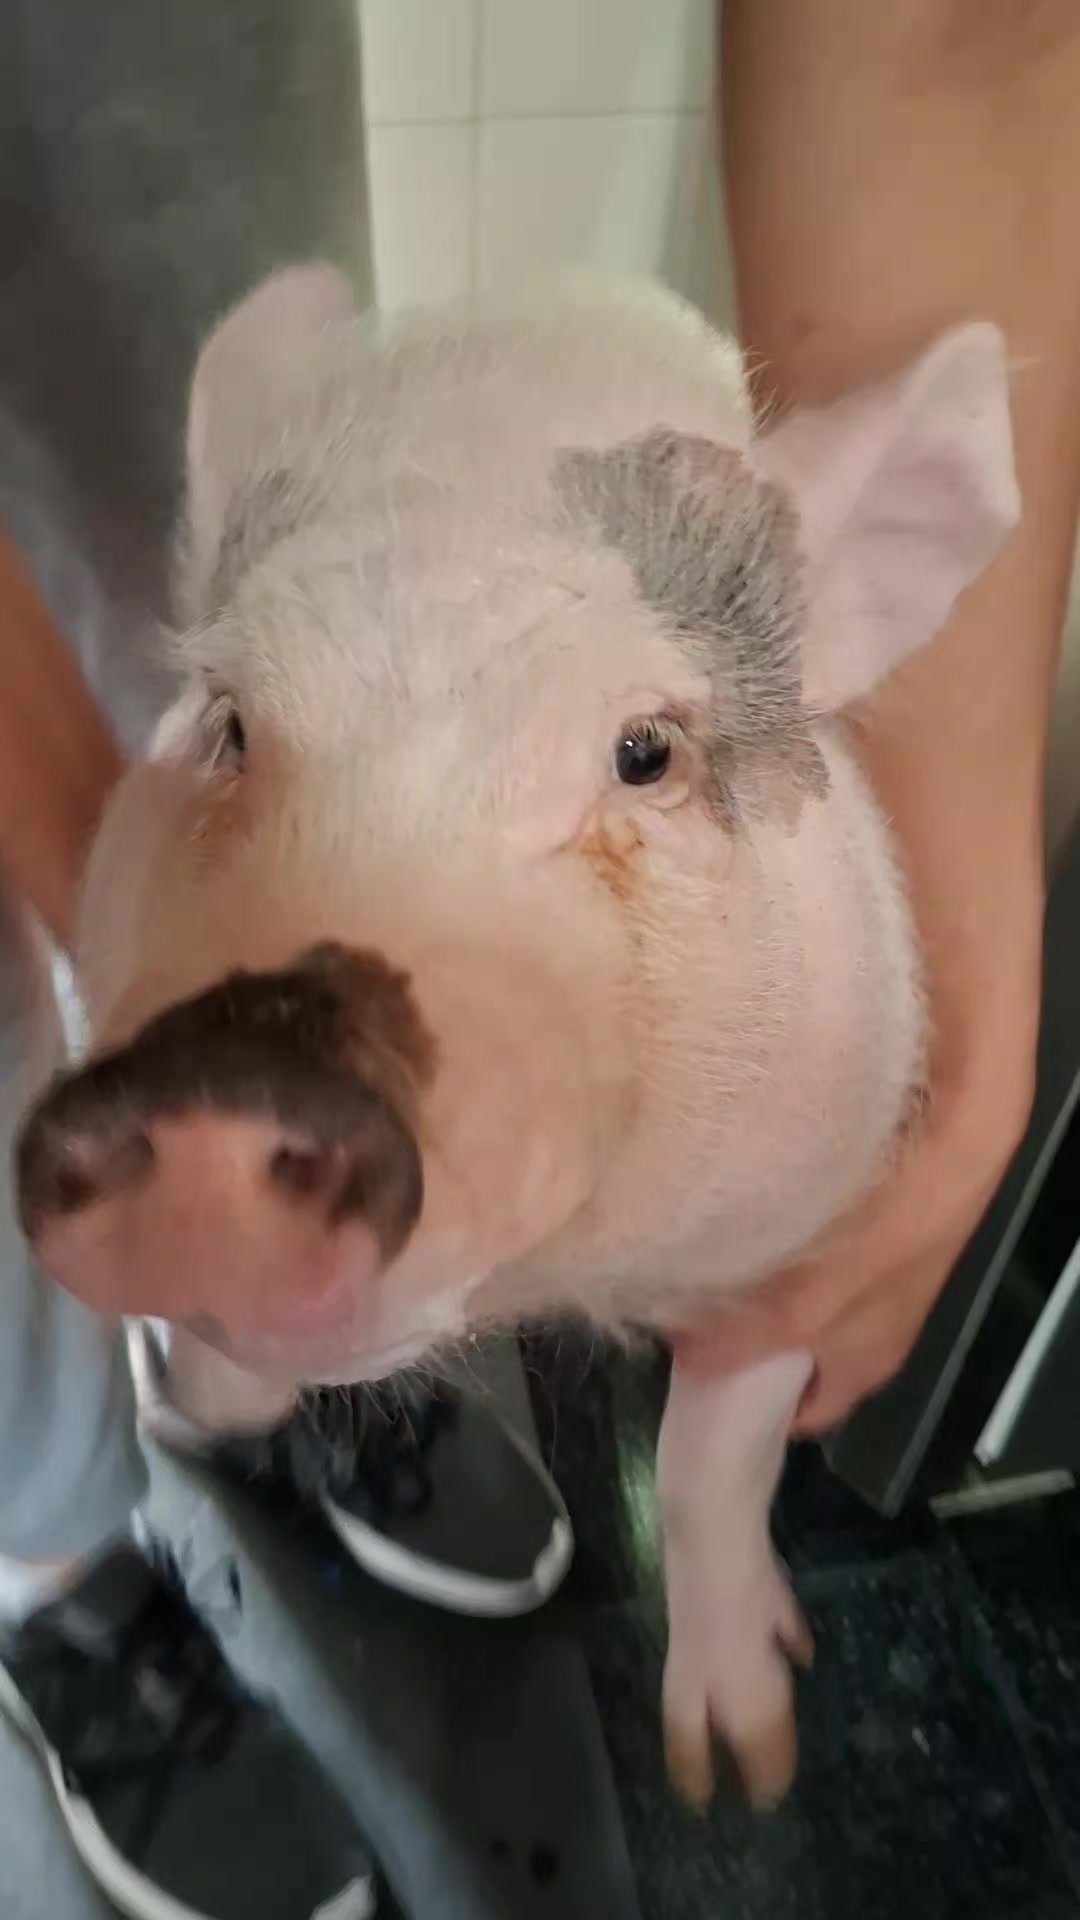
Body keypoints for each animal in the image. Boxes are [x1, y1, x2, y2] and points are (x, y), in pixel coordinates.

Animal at [14, 266, 1018, 1809]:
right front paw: (221, 1405)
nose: (220, 1098)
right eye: (230, 727)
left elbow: (713, 1455)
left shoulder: (819, 1215)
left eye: (645, 753)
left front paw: (743, 1771)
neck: (555, 1280)